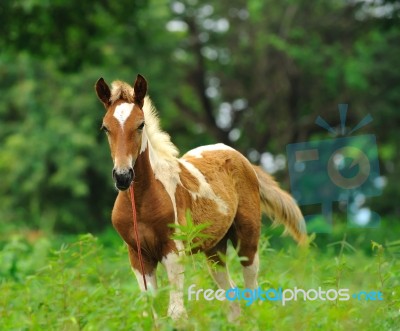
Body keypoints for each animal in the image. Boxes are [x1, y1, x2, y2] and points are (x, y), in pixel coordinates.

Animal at [95, 73, 308, 322]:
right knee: (231, 296)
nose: (123, 176)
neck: (141, 202)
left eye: (141, 125)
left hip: (248, 237)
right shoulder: (137, 255)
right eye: (105, 128)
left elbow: (176, 313)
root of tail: (240, 157)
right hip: (215, 248)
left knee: (251, 289)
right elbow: (152, 314)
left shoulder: (173, 250)